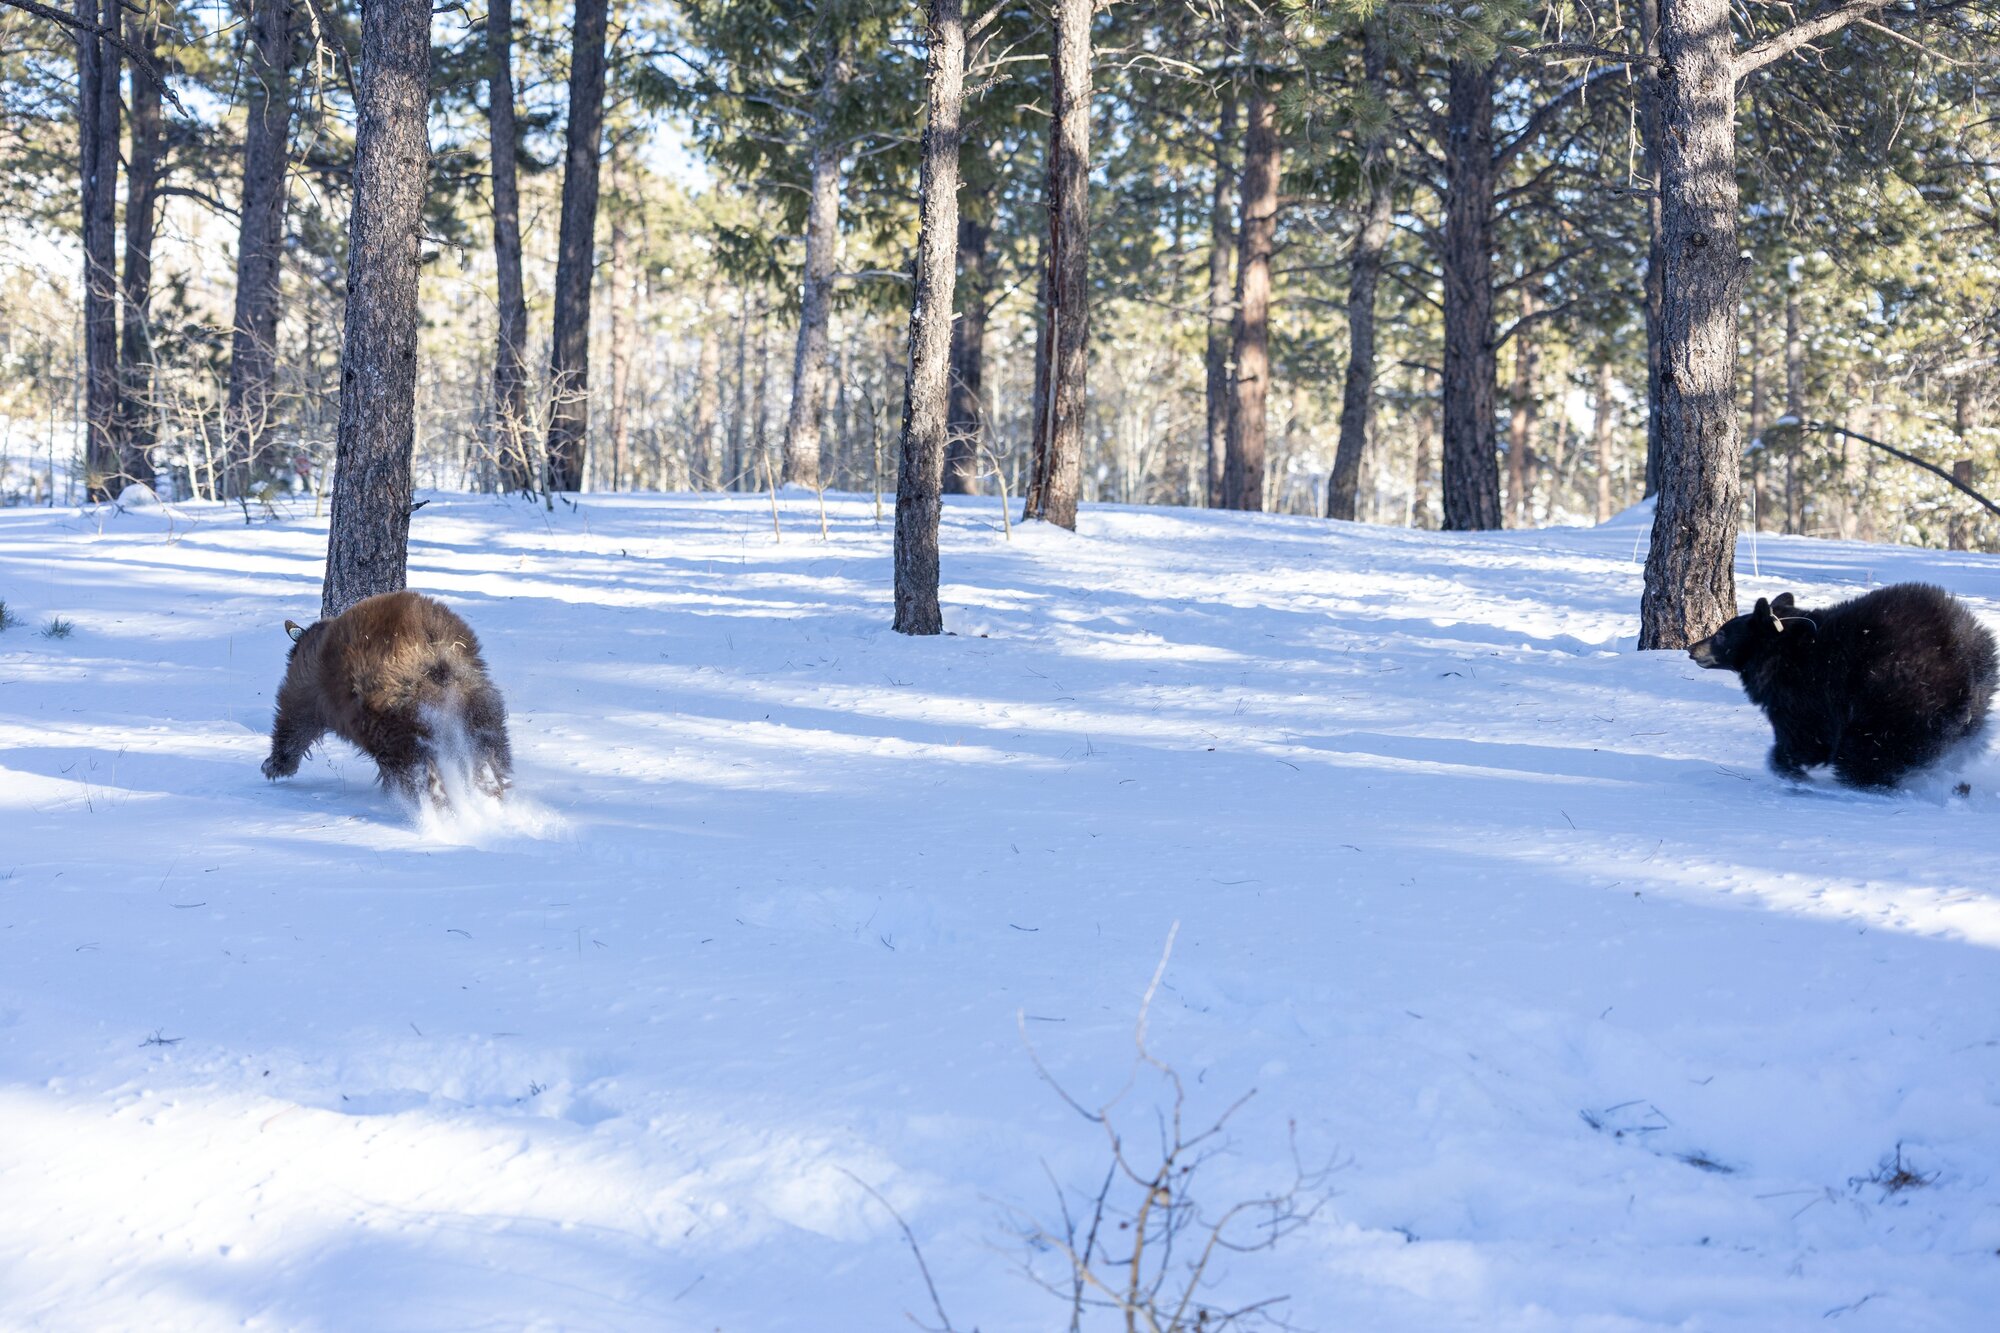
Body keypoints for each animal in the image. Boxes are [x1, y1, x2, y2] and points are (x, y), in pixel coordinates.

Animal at [262, 590, 513, 807]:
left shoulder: (307, 687)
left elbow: (294, 721)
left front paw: (274, 764)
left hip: (389, 705)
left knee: (409, 755)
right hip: (474, 693)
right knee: (488, 737)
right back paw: (490, 784)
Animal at [1687, 582, 1997, 789]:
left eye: (1722, 633)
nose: (1691, 648)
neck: (1780, 649)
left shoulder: (1803, 694)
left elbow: (1804, 736)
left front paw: (1792, 771)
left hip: (1892, 699)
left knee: (1871, 749)